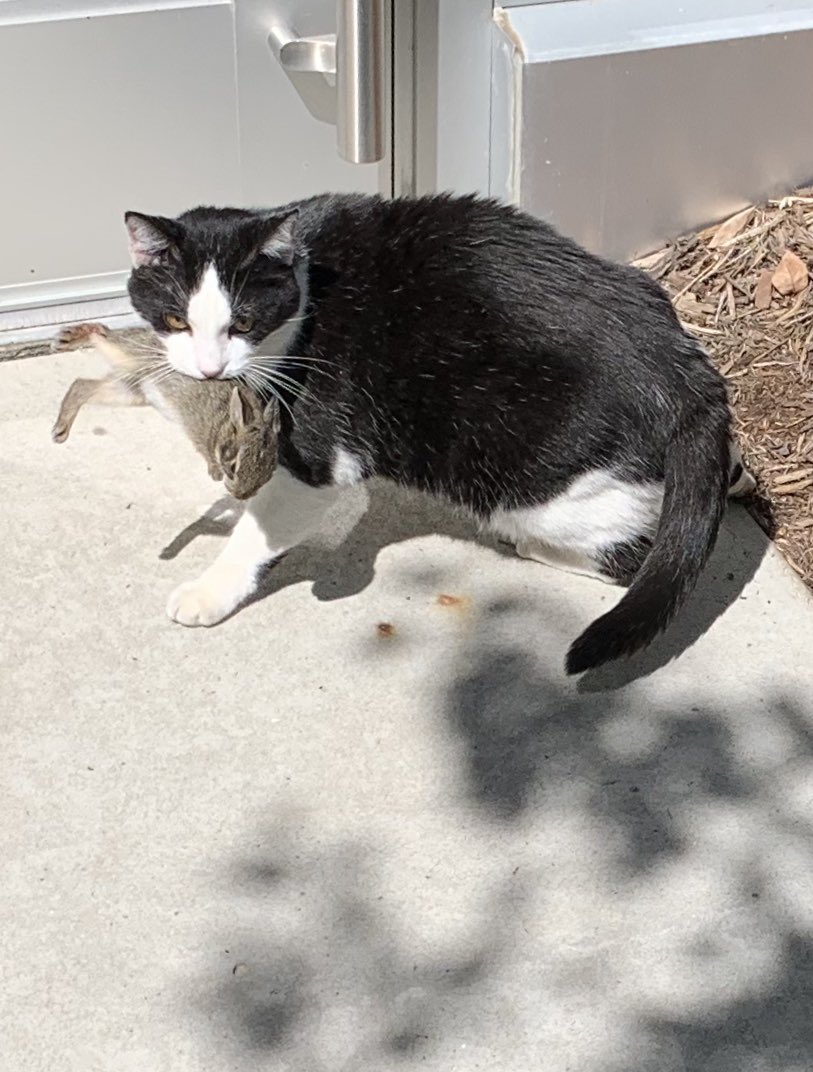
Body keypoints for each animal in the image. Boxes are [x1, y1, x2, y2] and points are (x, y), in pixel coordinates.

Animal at [52, 323, 279, 500]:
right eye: (232, 466)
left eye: (270, 473)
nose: (240, 496)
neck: (224, 422)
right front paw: (214, 471)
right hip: (134, 354)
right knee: (102, 336)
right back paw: (70, 338)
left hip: (131, 390)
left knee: (81, 385)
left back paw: (61, 428)